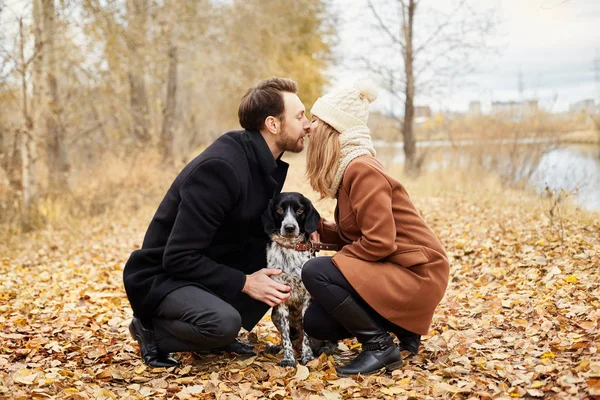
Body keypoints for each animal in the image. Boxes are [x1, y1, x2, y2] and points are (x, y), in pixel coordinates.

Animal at [262, 192, 328, 368]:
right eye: (279, 209)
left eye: (300, 210)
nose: (290, 228)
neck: (290, 249)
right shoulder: (280, 298)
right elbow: (285, 336)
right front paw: (288, 359)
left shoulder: (307, 298)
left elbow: (306, 335)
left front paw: (308, 356)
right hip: (274, 314)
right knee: (290, 338)